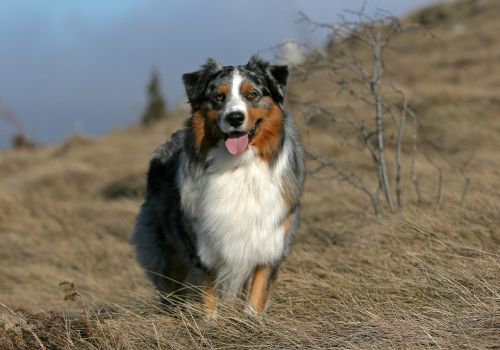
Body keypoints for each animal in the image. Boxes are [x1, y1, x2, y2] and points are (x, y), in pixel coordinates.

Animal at [131, 56, 306, 316]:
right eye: (218, 97)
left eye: (252, 94)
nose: (235, 118)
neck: (238, 165)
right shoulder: (203, 244)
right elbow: (208, 294)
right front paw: (210, 321)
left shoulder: (270, 241)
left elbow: (256, 293)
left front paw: (251, 320)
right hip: (166, 251)